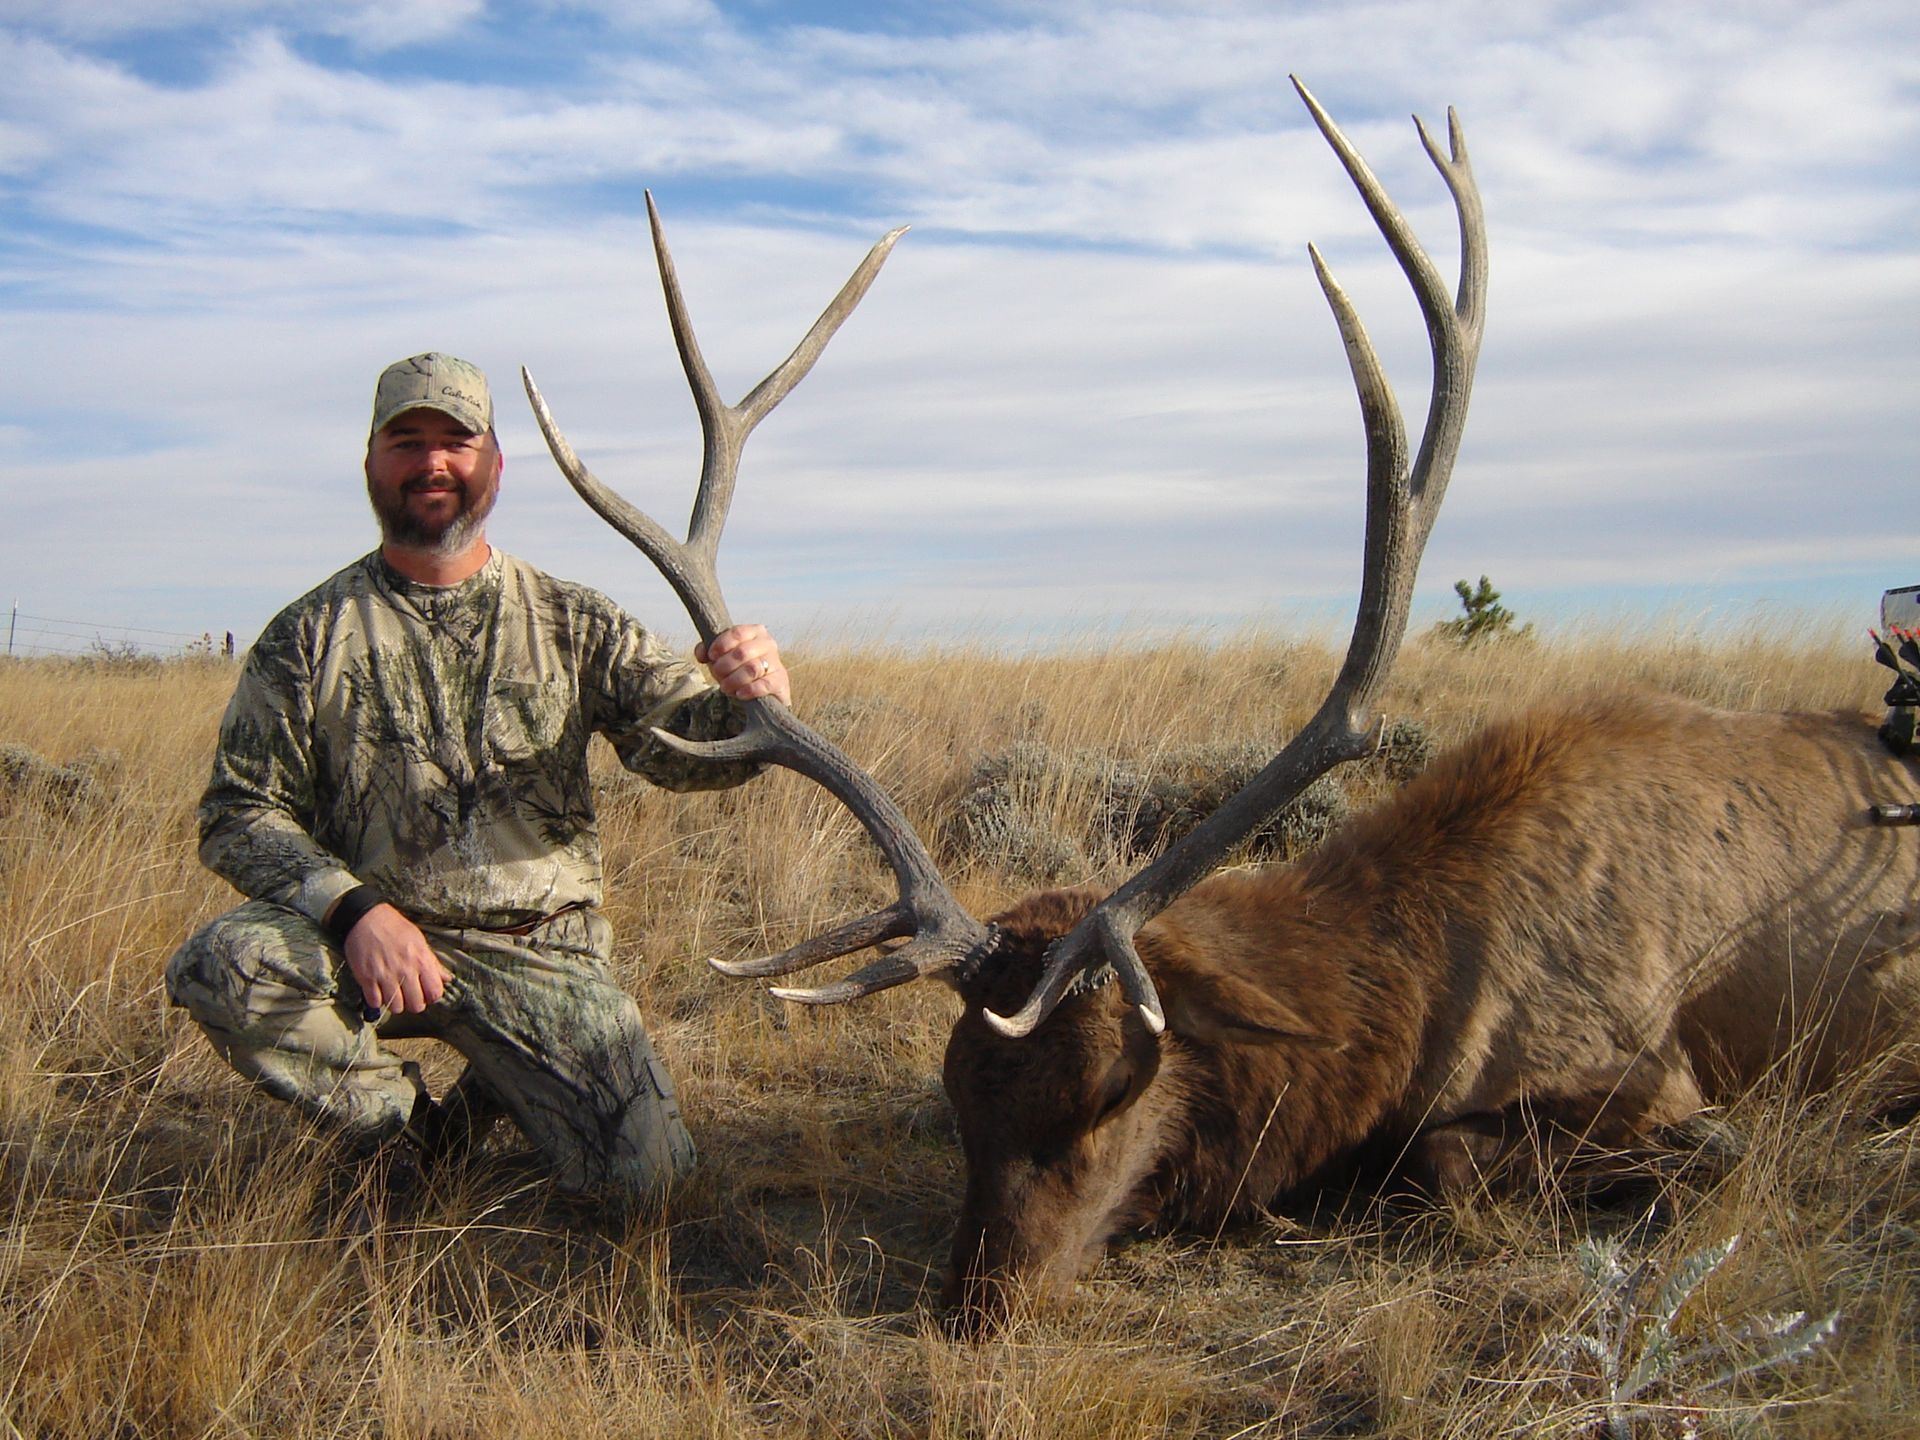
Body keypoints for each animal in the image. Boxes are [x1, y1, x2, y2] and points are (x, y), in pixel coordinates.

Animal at [521, 78, 1920, 1331]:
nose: (974, 1305)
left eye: (1108, 1098)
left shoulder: (1658, 1079)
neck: (1415, 988)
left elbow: (1461, 1160)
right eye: (961, 1094)